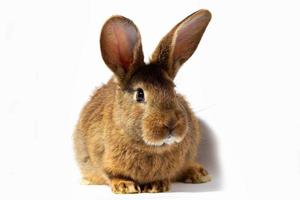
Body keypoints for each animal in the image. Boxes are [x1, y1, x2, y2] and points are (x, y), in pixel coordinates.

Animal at [74, 9, 212, 194]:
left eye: (174, 89)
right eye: (140, 94)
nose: (171, 123)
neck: (149, 147)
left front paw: (157, 185)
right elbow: (111, 174)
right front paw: (125, 186)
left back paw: (199, 174)